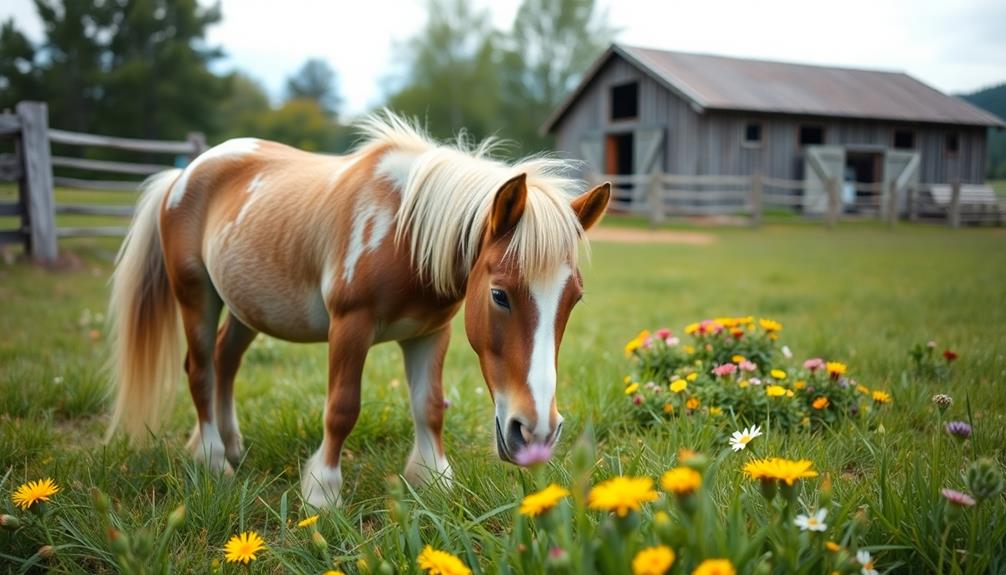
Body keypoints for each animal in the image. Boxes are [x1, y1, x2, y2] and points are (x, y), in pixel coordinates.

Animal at [106, 113, 607, 506]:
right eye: (500, 294)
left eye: (575, 299)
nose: (536, 433)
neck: (404, 231)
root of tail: (183, 174)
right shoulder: (351, 326)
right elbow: (343, 408)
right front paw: (323, 491)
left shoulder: (430, 333)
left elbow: (429, 406)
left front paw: (434, 478)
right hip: (197, 296)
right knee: (200, 370)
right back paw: (214, 460)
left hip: (246, 307)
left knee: (225, 361)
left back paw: (231, 447)